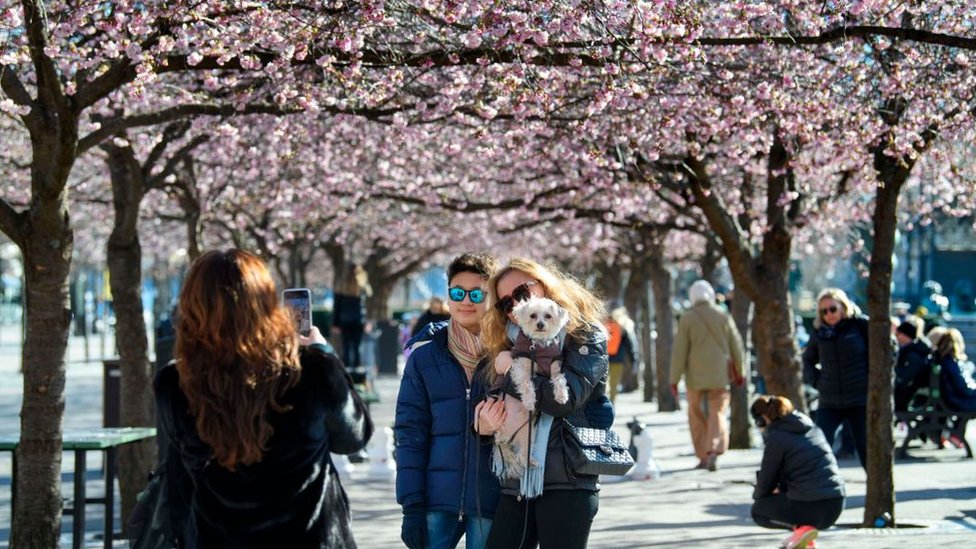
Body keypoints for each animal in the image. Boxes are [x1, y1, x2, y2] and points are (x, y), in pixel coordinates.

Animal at [496, 294, 572, 478]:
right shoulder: (521, 367)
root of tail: (505, 438)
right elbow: (527, 384)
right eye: (533, 316)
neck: (538, 345)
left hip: (527, 434)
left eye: (548, 316)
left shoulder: (555, 367)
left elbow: (559, 380)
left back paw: (531, 462)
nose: (540, 324)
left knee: (523, 454)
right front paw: (530, 401)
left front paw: (562, 395)